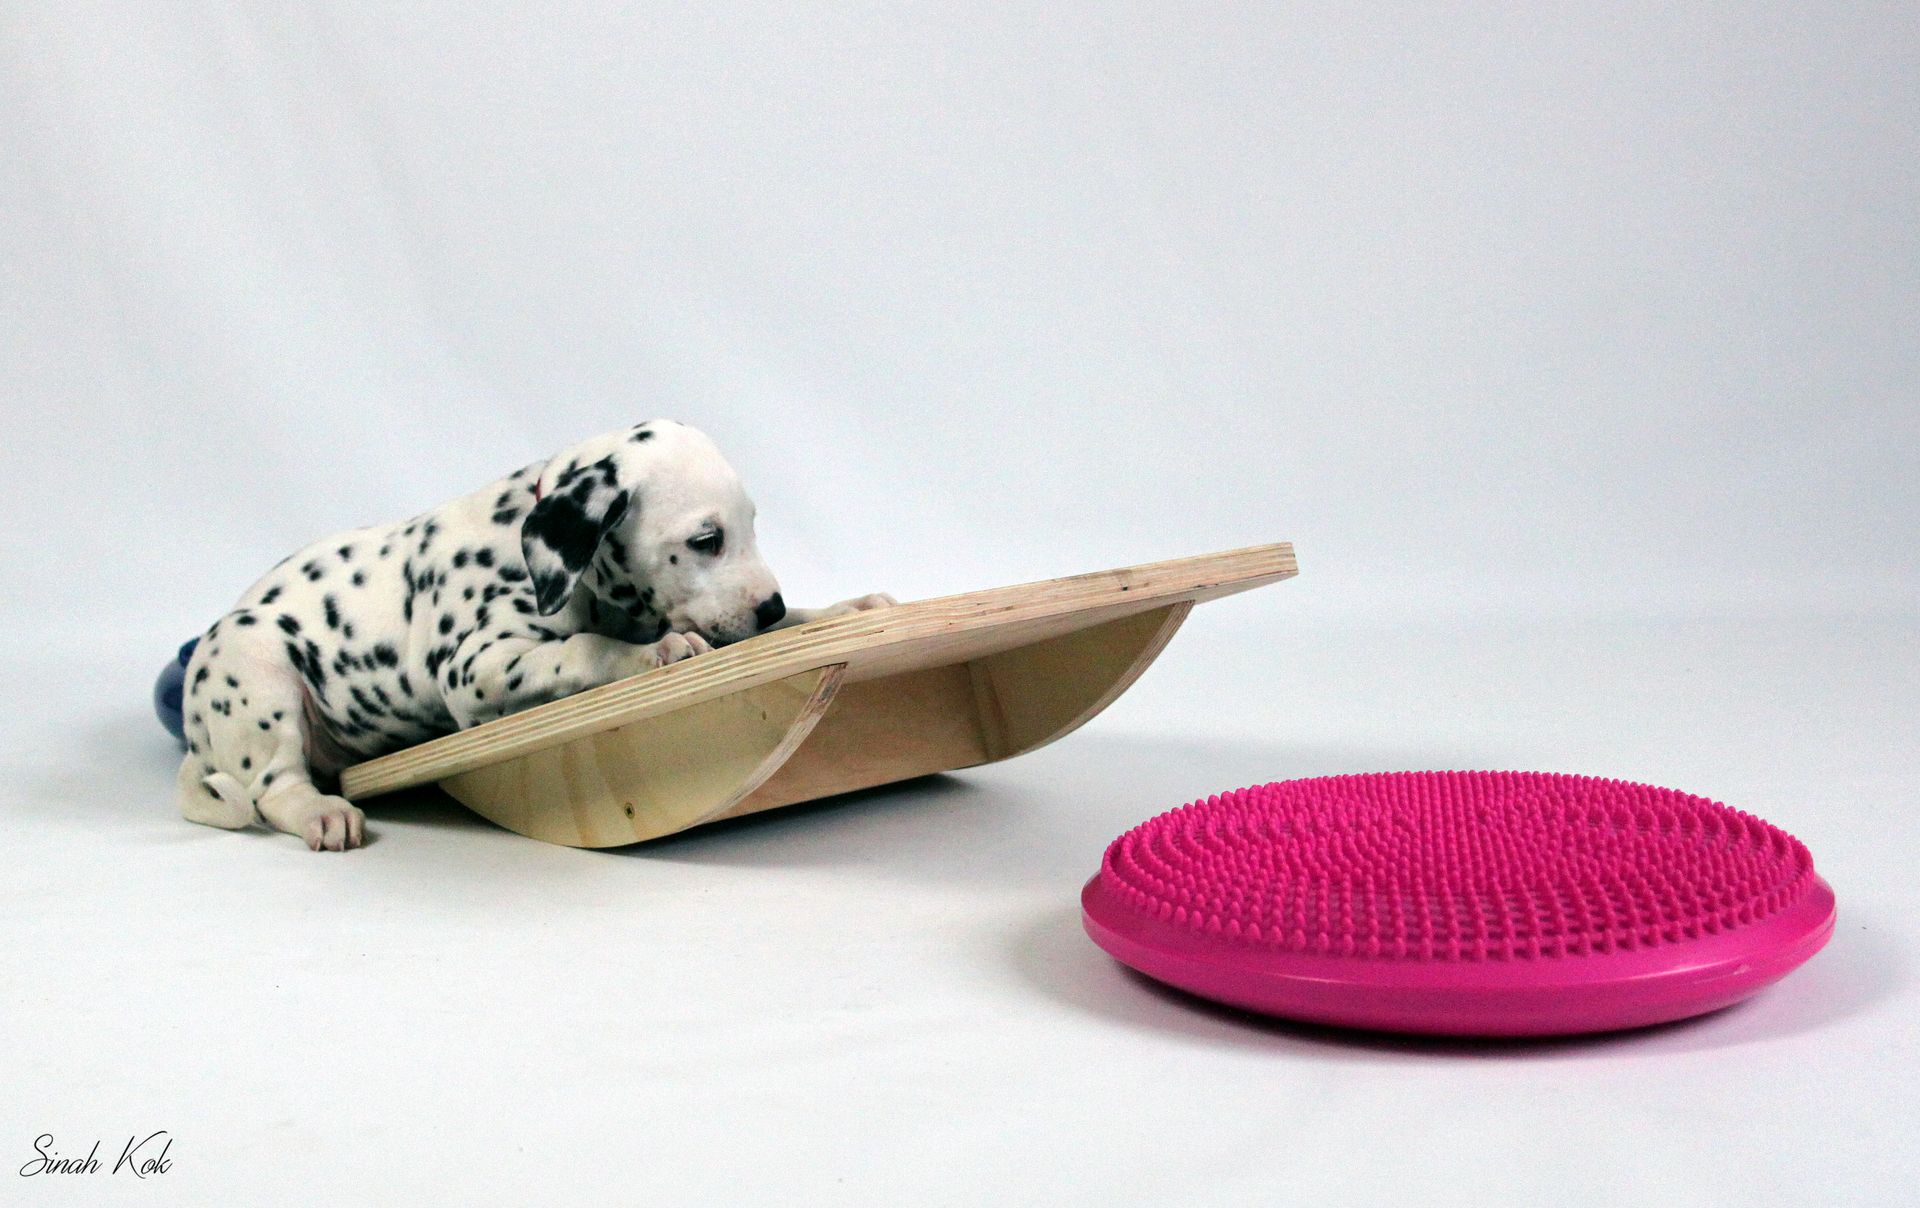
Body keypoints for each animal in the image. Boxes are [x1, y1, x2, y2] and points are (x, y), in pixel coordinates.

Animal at [175, 420, 893, 850]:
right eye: (705, 540)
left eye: (749, 528)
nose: (770, 605)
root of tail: (197, 729)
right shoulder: (474, 669)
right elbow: (580, 650)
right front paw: (654, 653)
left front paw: (843, 609)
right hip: (259, 675)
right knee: (274, 786)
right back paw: (320, 813)